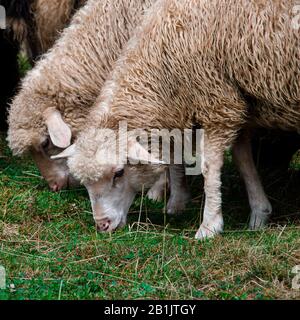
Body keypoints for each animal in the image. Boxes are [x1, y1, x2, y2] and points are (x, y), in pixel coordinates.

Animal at [52, 0, 298, 238]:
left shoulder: (217, 102)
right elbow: (243, 161)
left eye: (119, 173)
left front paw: (209, 226)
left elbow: (209, 168)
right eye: (86, 183)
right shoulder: (234, 103)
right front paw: (259, 213)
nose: (102, 225)